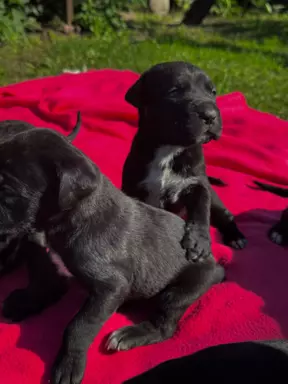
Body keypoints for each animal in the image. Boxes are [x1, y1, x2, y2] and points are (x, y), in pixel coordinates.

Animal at [0, 130, 225, 384]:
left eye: (7, 190)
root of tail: (214, 263)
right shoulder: (48, 260)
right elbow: (41, 282)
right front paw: (24, 302)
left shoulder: (110, 287)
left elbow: (80, 325)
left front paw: (69, 364)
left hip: (184, 289)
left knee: (166, 324)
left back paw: (130, 334)